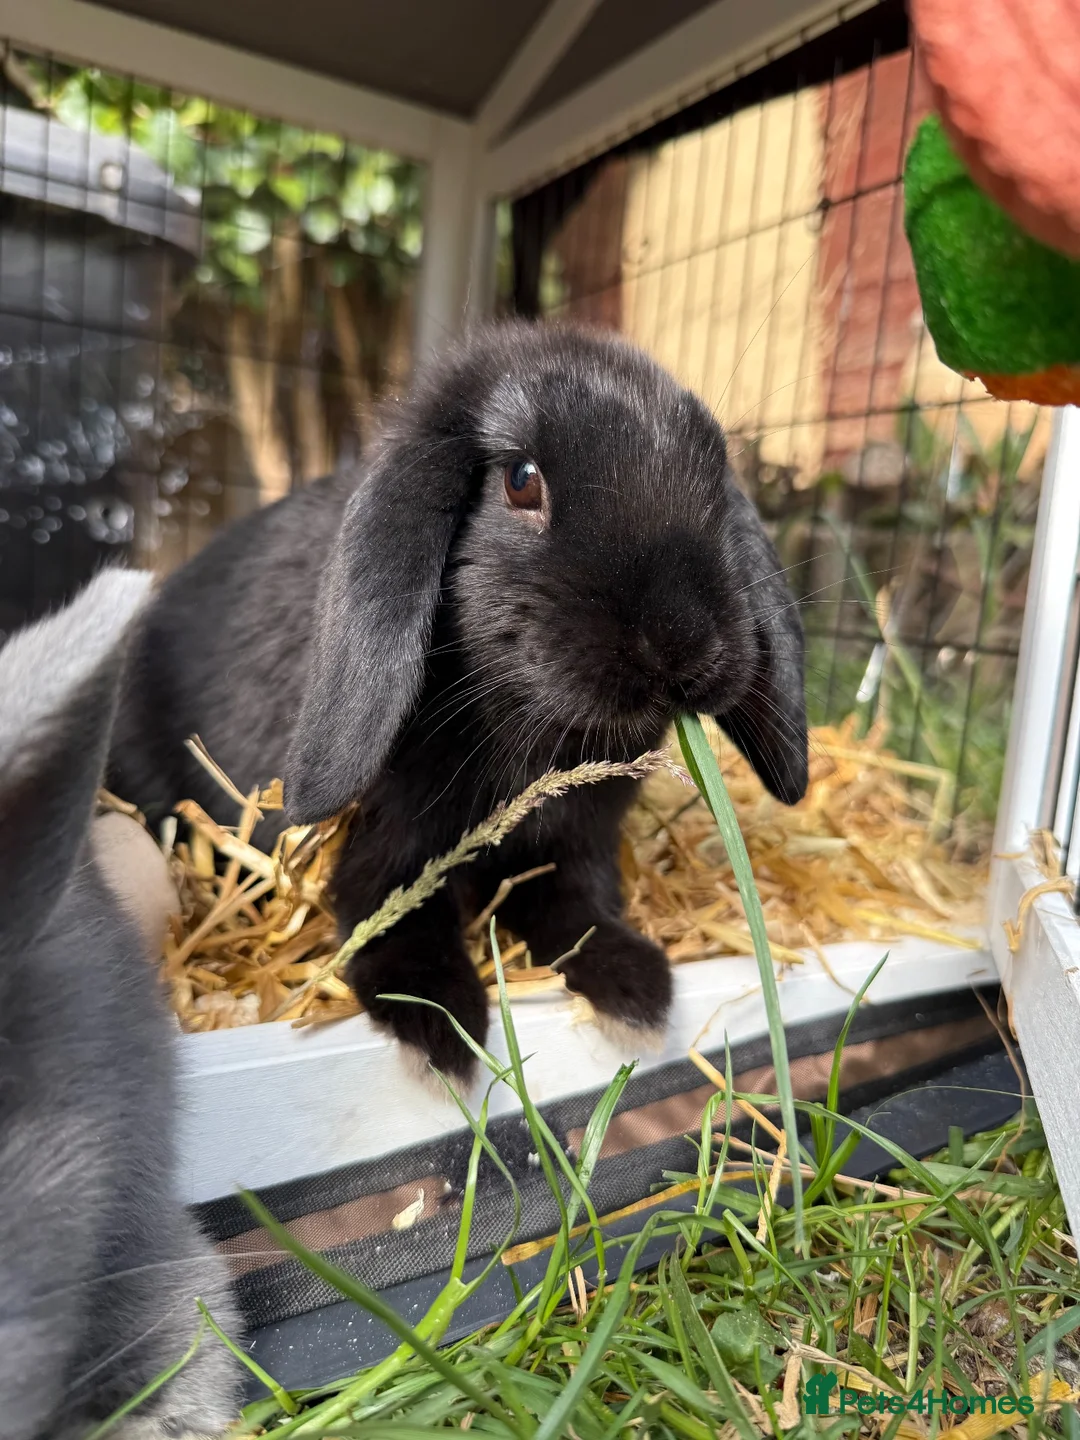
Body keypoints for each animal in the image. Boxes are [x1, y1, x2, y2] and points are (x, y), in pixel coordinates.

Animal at [109, 321, 808, 1081]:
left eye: (714, 480)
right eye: (521, 480)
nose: (682, 645)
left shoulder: (573, 846)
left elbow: (578, 906)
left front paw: (632, 985)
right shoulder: (387, 844)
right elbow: (391, 914)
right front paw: (439, 1025)